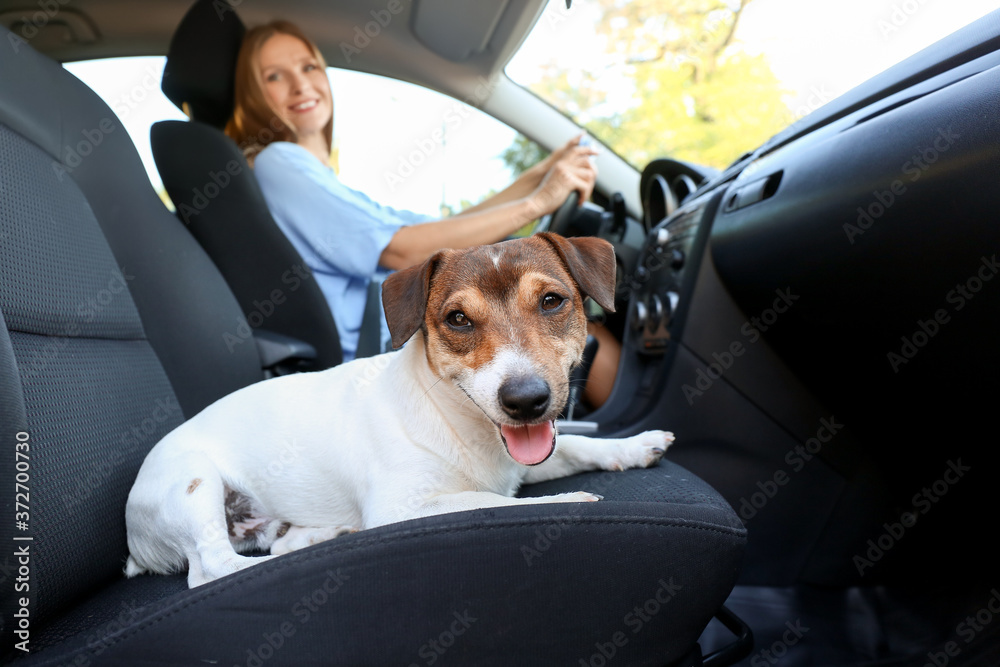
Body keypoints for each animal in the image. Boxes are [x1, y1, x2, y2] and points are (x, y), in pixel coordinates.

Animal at [123, 232, 672, 588]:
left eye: (553, 301)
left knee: (272, 544)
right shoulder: (403, 507)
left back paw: (324, 535)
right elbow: (491, 503)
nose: (525, 400)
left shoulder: (526, 458)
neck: (455, 419)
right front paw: (565, 502)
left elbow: (576, 444)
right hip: (194, 484)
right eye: (458, 319)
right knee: (214, 569)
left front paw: (634, 445)